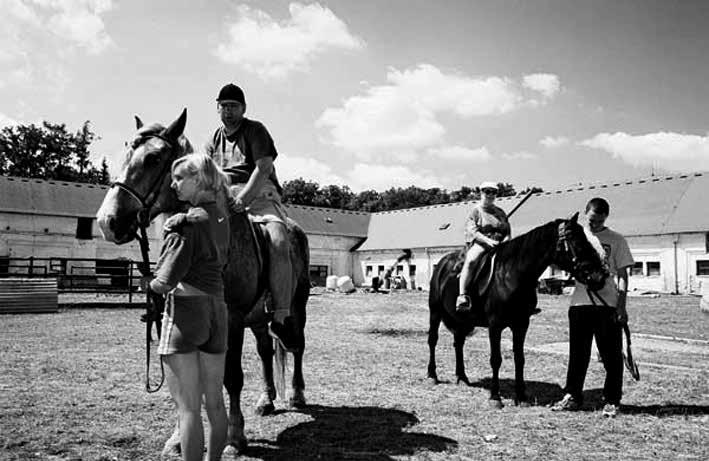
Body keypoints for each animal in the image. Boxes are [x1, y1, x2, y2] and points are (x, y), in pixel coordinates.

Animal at [95, 109, 308, 454]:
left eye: (154, 158)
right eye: (126, 153)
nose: (108, 222)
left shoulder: (232, 318)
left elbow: (231, 376)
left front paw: (235, 437)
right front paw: (177, 439)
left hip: (296, 308)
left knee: (297, 346)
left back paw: (297, 394)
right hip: (257, 317)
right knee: (265, 350)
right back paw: (266, 400)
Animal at [426, 214, 608, 408]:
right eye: (578, 243)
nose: (599, 276)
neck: (511, 275)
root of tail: (442, 264)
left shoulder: (521, 324)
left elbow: (520, 358)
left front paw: (521, 395)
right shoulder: (495, 326)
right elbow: (496, 359)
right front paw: (495, 397)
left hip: (462, 320)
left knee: (458, 343)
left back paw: (462, 377)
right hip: (435, 312)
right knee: (433, 340)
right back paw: (432, 375)